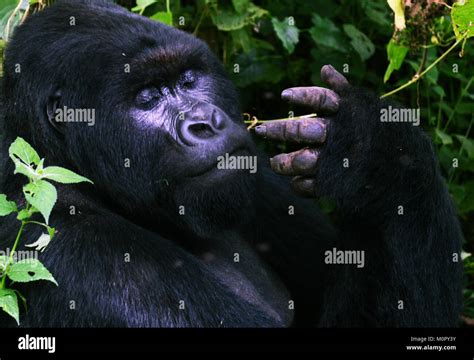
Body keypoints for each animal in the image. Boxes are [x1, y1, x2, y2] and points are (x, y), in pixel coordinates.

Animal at [0, 0, 462, 326]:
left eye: (189, 79)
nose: (206, 123)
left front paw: (376, 154)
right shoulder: (76, 250)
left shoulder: (257, 176)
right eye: (147, 97)